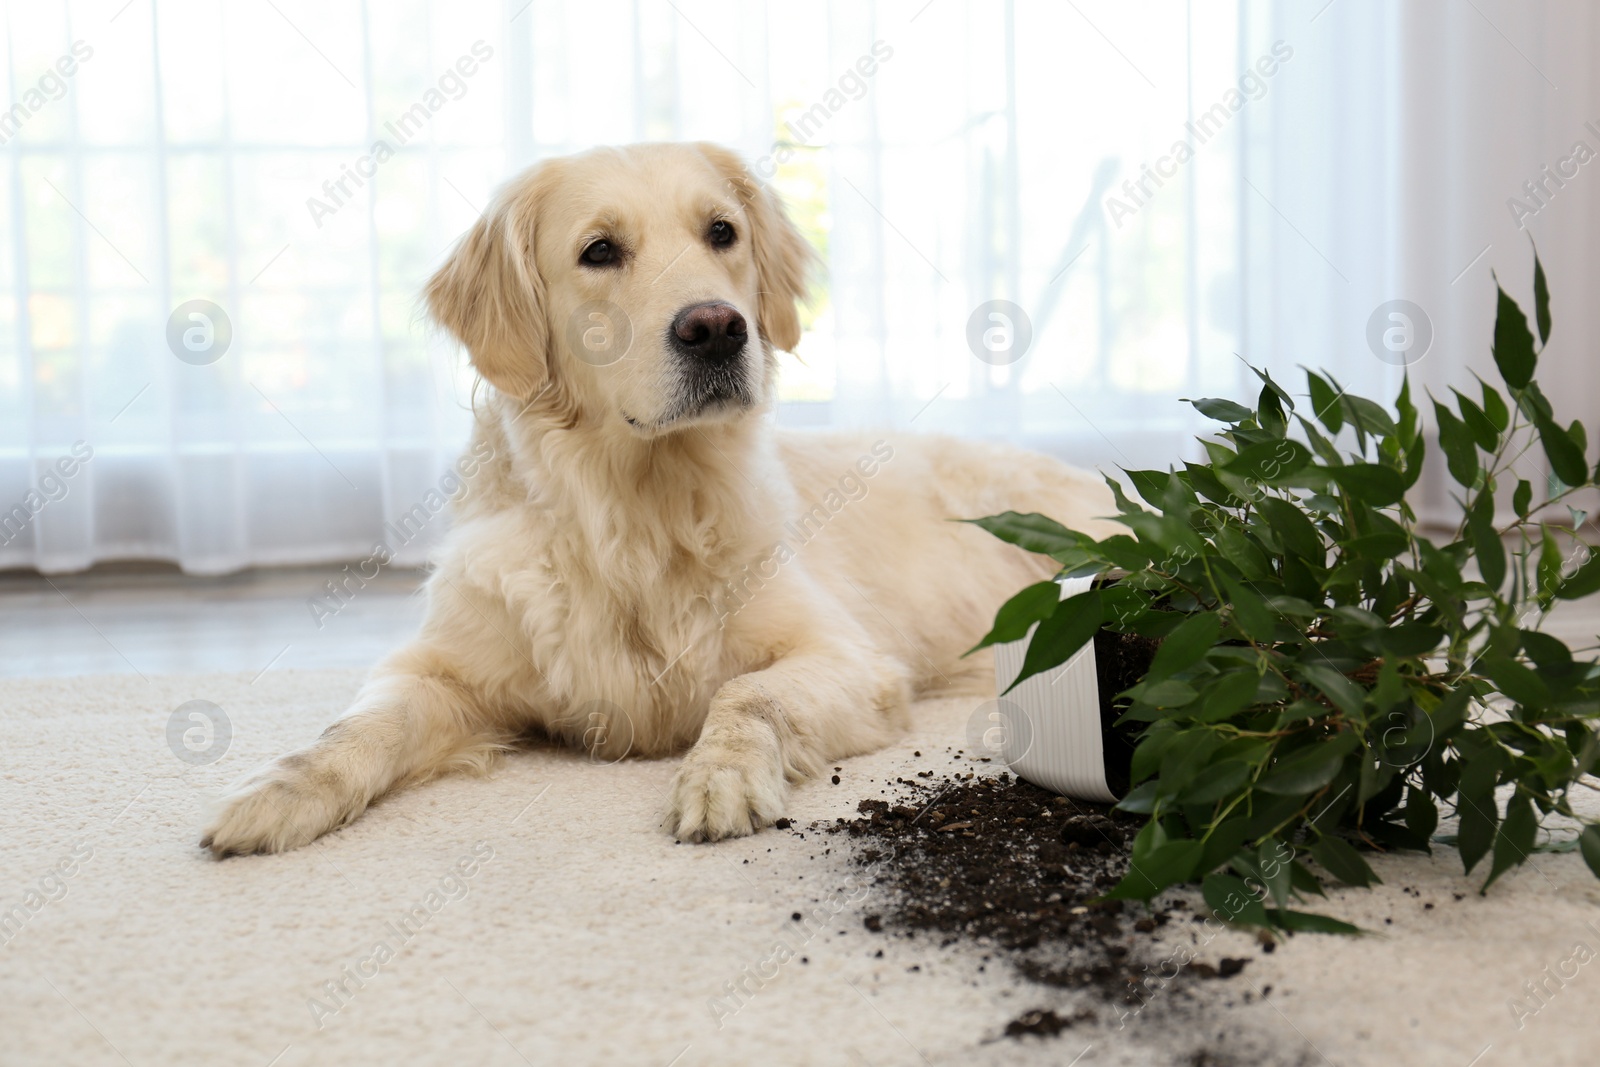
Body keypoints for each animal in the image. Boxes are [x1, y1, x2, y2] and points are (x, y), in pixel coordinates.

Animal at [200, 143, 1120, 857]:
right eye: (600, 250)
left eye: (722, 232)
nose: (716, 327)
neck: (639, 510)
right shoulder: (443, 668)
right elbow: (354, 727)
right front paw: (280, 790)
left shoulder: (849, 657)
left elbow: (744, 695)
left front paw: (719, 778)